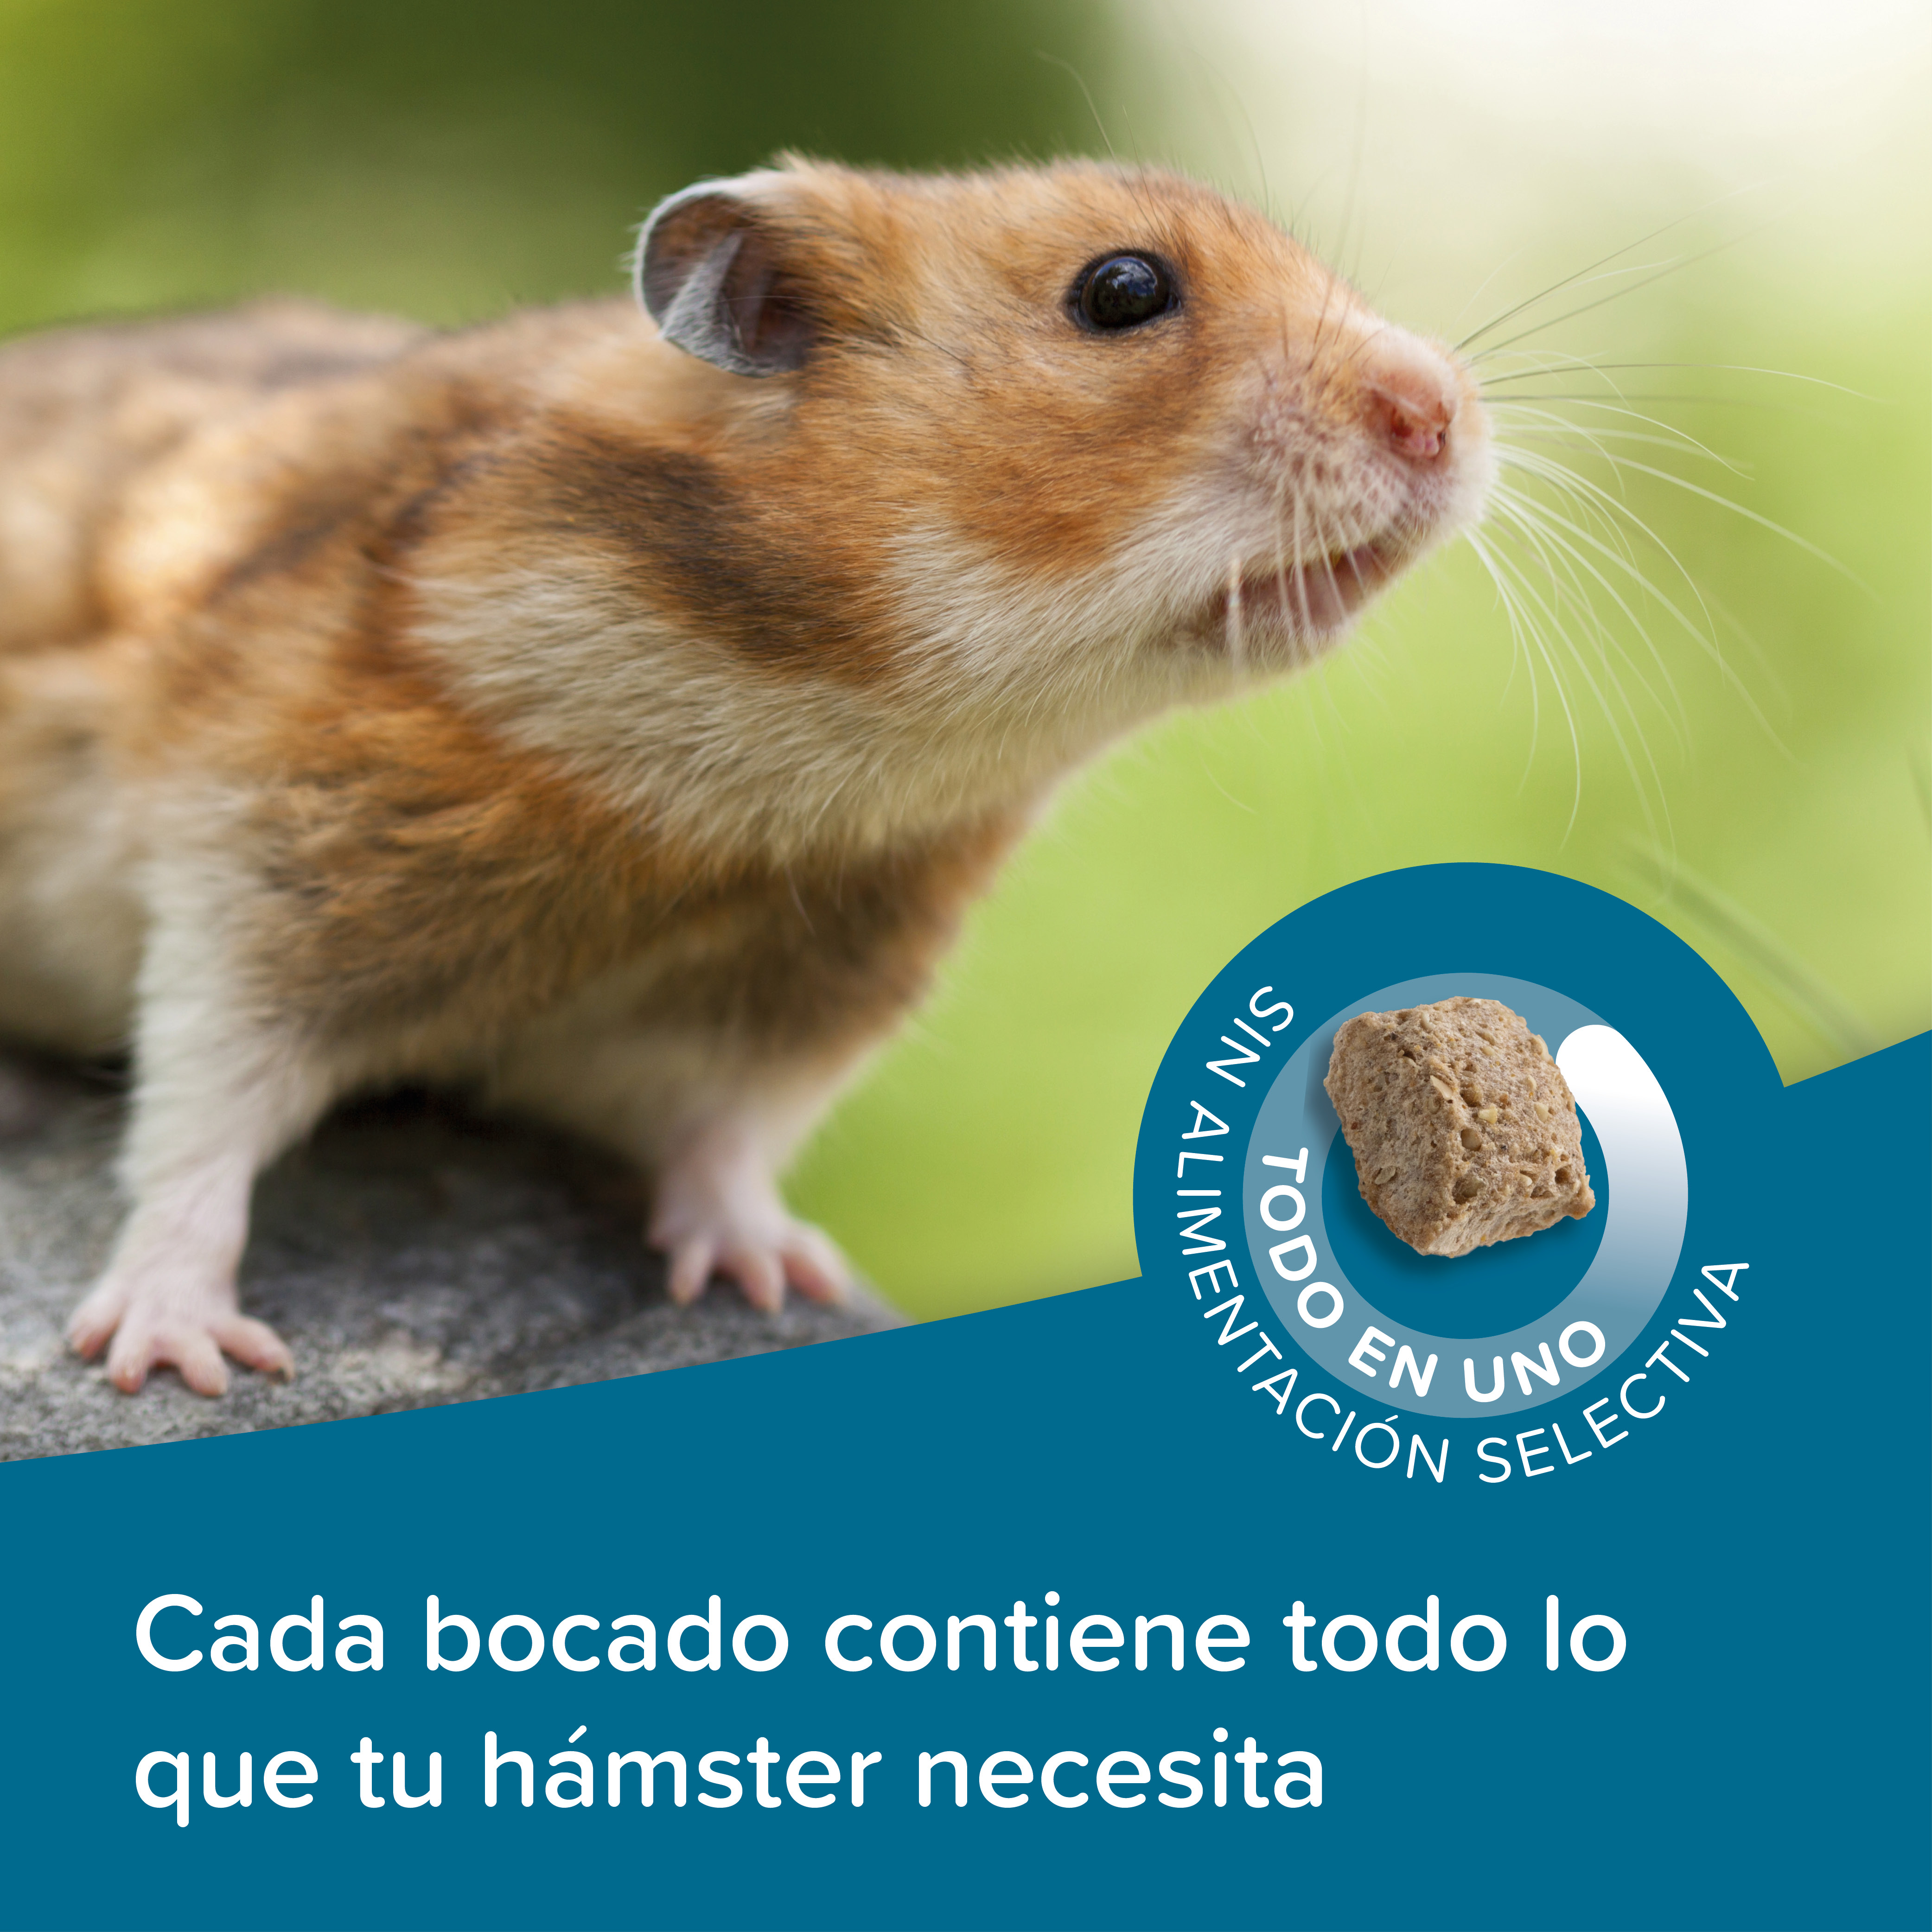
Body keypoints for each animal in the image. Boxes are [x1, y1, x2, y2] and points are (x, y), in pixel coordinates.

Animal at [0, 159, 1491, 1395]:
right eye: (1121, 291)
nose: (1442, 415)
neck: (825, 749)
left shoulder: (812, 976)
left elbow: (728, 1137)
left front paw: (777, 1278)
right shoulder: (270, 853)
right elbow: (202, 1105)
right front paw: (173, 1359)